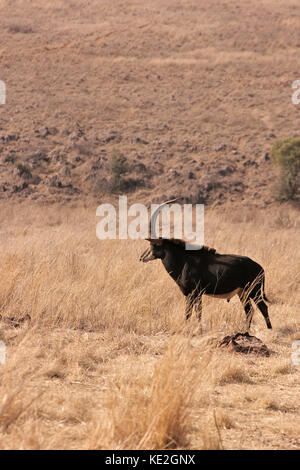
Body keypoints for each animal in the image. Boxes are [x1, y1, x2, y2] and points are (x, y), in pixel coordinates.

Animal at [139, 199, 274, 330]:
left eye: (153, 245)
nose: (141, 258)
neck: (184, 261)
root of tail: (260, 268)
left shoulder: (196, 293)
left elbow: (197, 313)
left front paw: (198, 329)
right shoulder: (189, 294)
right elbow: (188, 313)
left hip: (254, 291)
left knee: (263, 307)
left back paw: (269, 330)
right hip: (243, 293)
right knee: (249, 310)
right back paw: (246, 331)